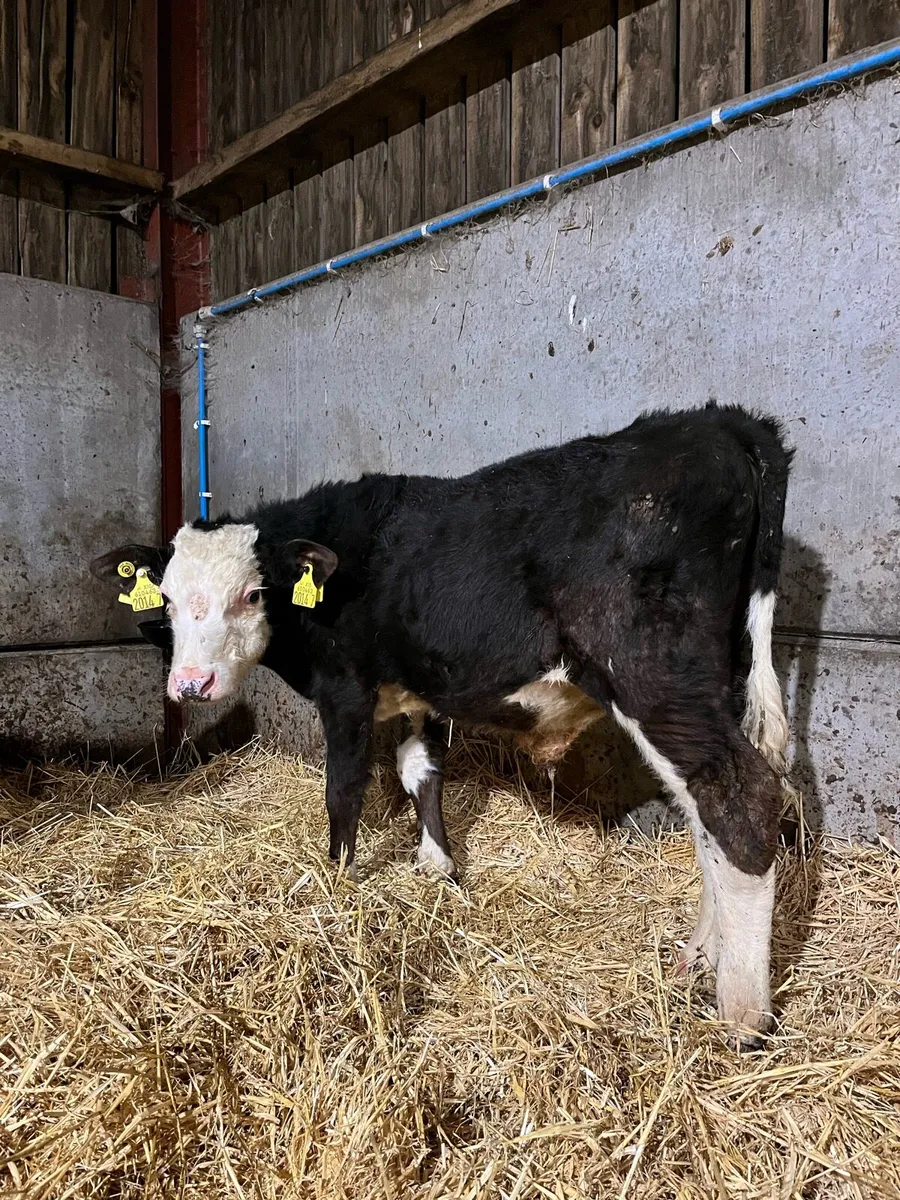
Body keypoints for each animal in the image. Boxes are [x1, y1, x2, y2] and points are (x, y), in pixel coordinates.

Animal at [93, 403, 793, 1048]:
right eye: (168, 599)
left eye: (253, 594)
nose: (190, 685)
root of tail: (719, 422)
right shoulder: (420, 686)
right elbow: (420, 768)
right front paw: (437, 864)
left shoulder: (345, 690)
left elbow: (344, 790)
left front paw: (337, 885)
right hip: (714, 677)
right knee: (704, 815)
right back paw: (698, 958)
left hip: (654, 674)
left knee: (739, 799)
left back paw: (741, 1013)